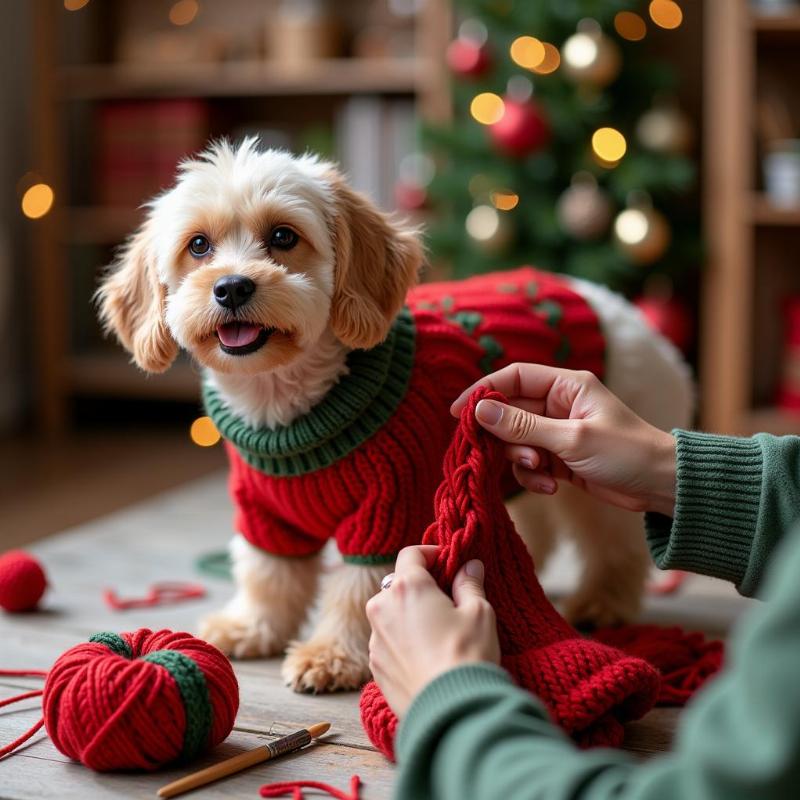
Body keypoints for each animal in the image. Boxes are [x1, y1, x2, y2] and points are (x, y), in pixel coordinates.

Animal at [97, 141, 692, 692]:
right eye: (198, 245)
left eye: (284, 237)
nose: (232, 286)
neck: (286, 409)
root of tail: (622, 308)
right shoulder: (266, 517)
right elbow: (269, 577)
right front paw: (251, 627)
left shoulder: (386, 515)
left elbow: (357, 590)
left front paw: (332, 655)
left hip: (598, 480)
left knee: (615, 548)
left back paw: (602, 602)